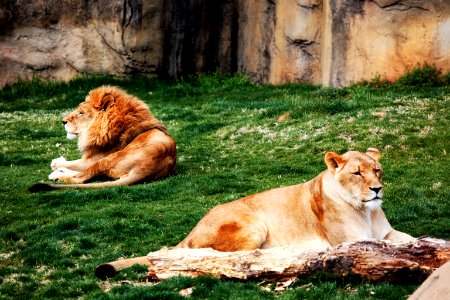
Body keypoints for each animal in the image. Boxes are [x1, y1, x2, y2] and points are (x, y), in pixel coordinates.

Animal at [29, 85, 176, 191]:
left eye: (81, 113)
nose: (63, 121)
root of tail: (146, 168)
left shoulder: (92, 159)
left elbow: (74, 164)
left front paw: (56, 163)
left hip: (107, 159)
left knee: (80, 178)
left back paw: (56, 175)